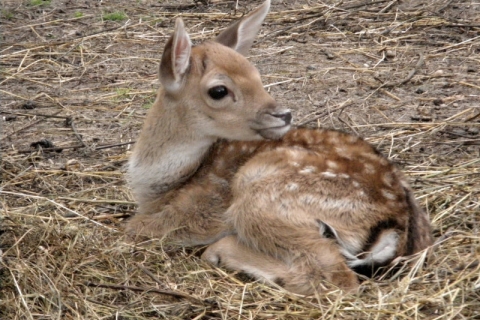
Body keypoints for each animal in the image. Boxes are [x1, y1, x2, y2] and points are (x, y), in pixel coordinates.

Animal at [125, 0, 434, 296]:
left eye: (257, 75)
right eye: (219, 90)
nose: (283, 114)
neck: (162, 185)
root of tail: (396, 222)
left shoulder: (198, 211)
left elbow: (134, 227)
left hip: (263, 194)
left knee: (334, 276)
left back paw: (223, 252)